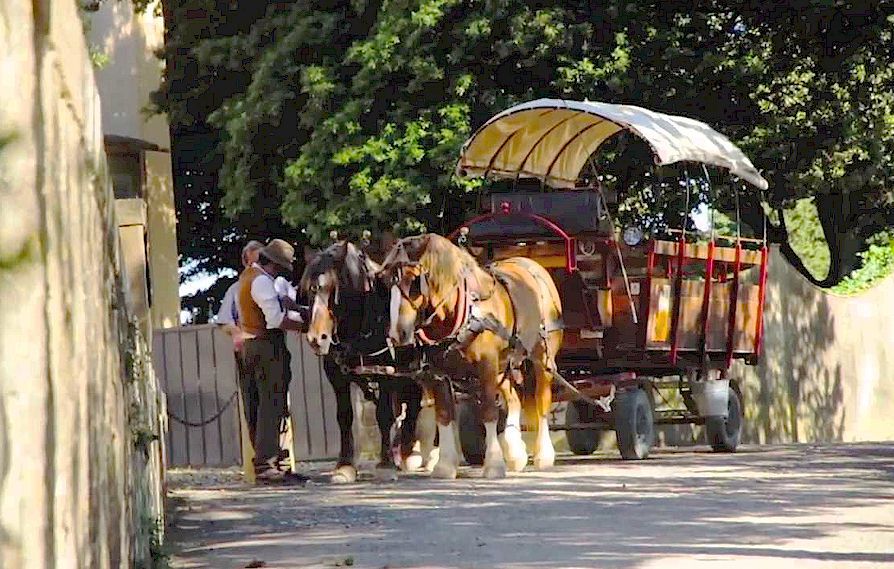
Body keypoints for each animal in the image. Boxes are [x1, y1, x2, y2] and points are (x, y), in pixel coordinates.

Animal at [382, 233, 564, 478]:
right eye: (387, 284)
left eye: (413, 282)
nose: (397, 334)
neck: (464, 312)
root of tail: (533, 265)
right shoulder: (438, 373)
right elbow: (444, 415)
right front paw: (444, 465)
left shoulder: (486, 365)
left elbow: (488, 411)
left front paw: (494, 464)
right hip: (503, 364)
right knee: (514, 399)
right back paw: (514, 453)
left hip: (541, 358)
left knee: (541, 399)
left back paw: (543, 455)